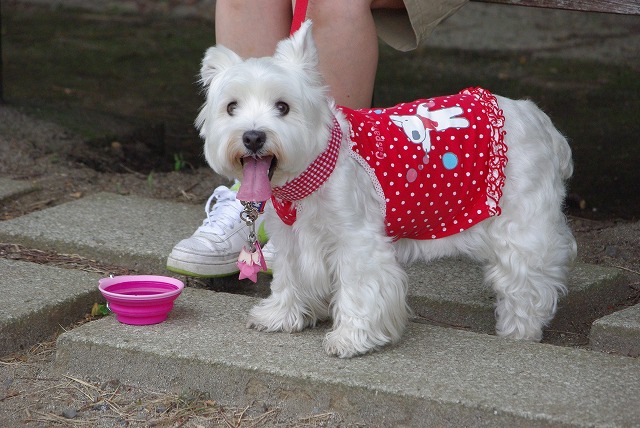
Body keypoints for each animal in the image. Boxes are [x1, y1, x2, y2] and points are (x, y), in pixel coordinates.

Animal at [195, 20, 576, 358]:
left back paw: (519, 334)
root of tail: (541, 122)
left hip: (522, 227)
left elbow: (360, 287)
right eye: (231, 107)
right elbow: (291, 276)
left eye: (283, 107)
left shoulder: (356, 240)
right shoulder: (292, 239)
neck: (314, 171)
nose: (253, 137)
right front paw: (280, 315)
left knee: (529, 285)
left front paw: (350, 338)